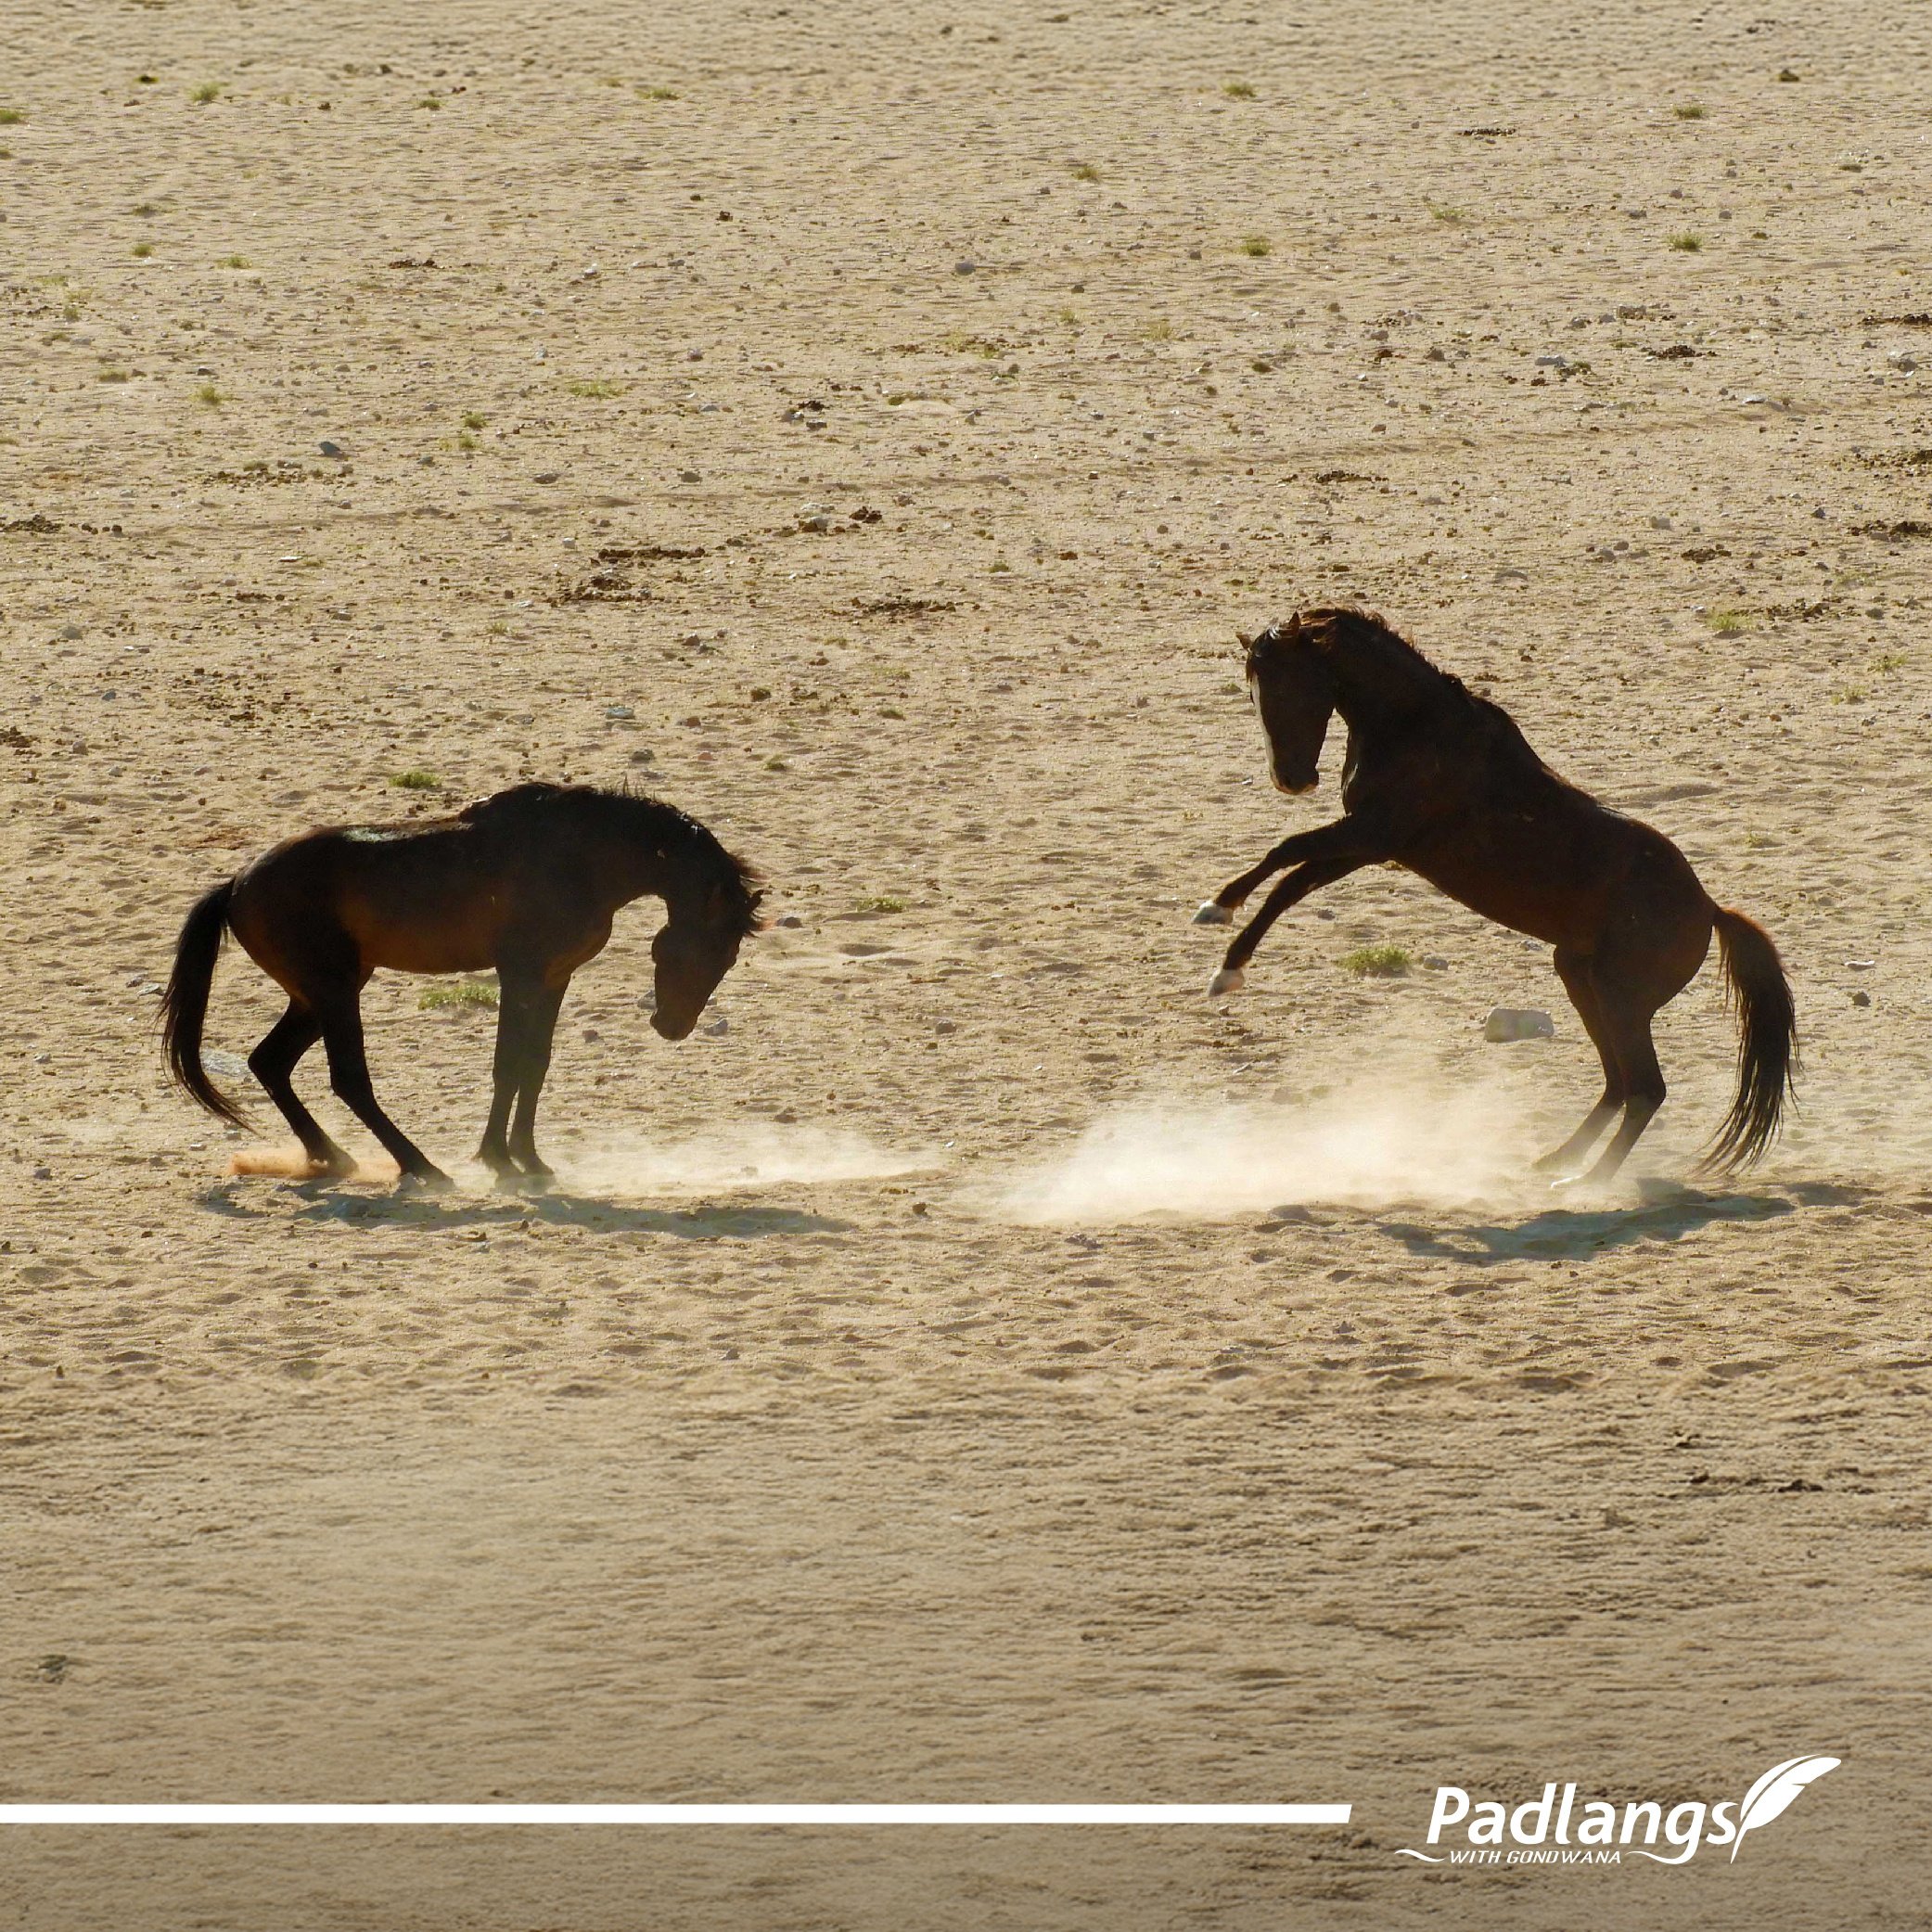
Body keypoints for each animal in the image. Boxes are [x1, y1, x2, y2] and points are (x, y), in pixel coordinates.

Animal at [162, 781, 764, 1192]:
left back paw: (333, 1157)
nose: (673, 1026)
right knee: (348, 1079)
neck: (580, 857)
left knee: (269, 1062)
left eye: (729, 956)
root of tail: (237, 885)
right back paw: (421, 1166)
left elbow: (534, 1065)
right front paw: (499, 1158)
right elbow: (507, 1066)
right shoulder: (520, 975)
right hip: (335, 993)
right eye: (687, 949)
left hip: (318, 997)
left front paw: (528, 1157)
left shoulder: (553, 979)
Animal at [1193, 608, 1796, 1186]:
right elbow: (1290, 876)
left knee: (1645, 1089)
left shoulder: (1371, 835)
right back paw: (1556, 1160)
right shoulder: (1367, 845)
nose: (1291, 780)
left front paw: (1221, 935)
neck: (1415, 725)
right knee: (1618, 1084)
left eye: (1289, 687)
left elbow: (1286, 857)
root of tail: (1709, 910)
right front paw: (1225, 945)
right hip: (1582, 982)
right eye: (1254, 693)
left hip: (1620, 999)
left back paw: (1584, 1181)